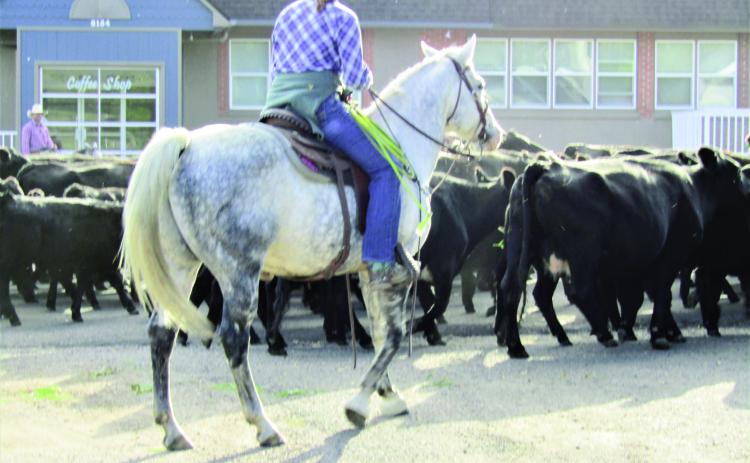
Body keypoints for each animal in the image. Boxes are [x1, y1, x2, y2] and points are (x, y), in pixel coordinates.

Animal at [498, 147, 750, 358]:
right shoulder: (670, 256)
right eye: (737, 172)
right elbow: (662, 294)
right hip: (582, 254)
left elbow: (639, 298)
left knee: (516, 289)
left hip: (525, 249)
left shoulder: (641, 265)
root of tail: (545, 166)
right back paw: (603, 333)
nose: (747, 185)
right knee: (580, 290)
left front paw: (652, 330)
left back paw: (520, 345)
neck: (693, 187)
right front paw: (659, 335)